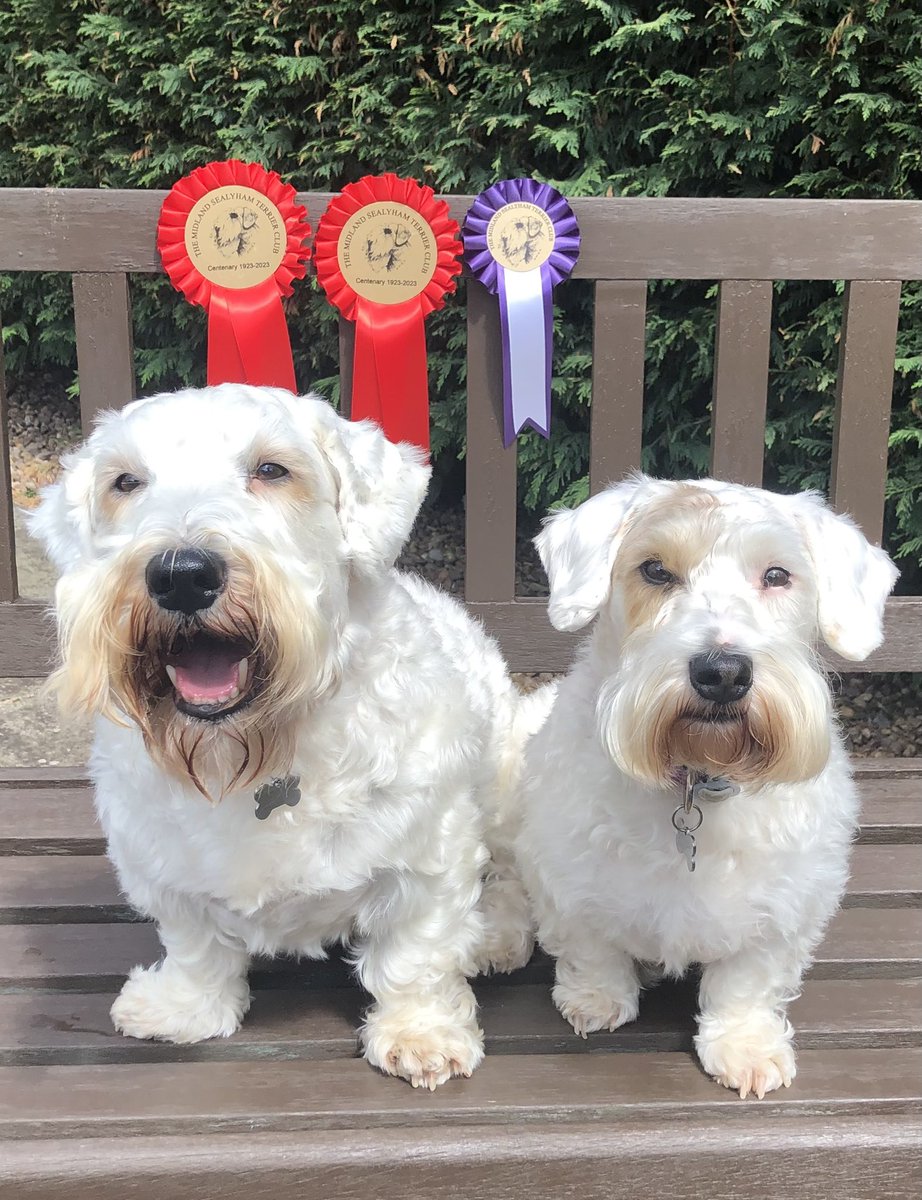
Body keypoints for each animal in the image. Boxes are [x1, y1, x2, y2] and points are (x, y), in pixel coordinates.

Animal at [513, 475, 897, 1099]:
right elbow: (592, 948)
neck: (698, 777)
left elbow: (747, 983)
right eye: (655, 570)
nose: (722, 672)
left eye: (776, 575)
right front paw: (596, 999)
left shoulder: (783, 908)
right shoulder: (566, 877)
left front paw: (745, 1047)